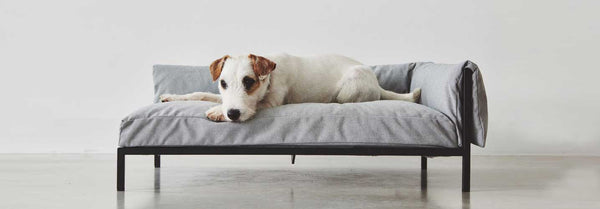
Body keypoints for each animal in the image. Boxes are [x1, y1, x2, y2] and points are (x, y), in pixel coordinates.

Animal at [159, 54, 422, 121]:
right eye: (223, 83)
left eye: (249, 82)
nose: (232, 113)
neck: (271, 78)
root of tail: (377, 84)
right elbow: (201, 94)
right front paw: (171, 96)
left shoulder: (272, 102)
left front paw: (217, 112)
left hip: (349, 87)